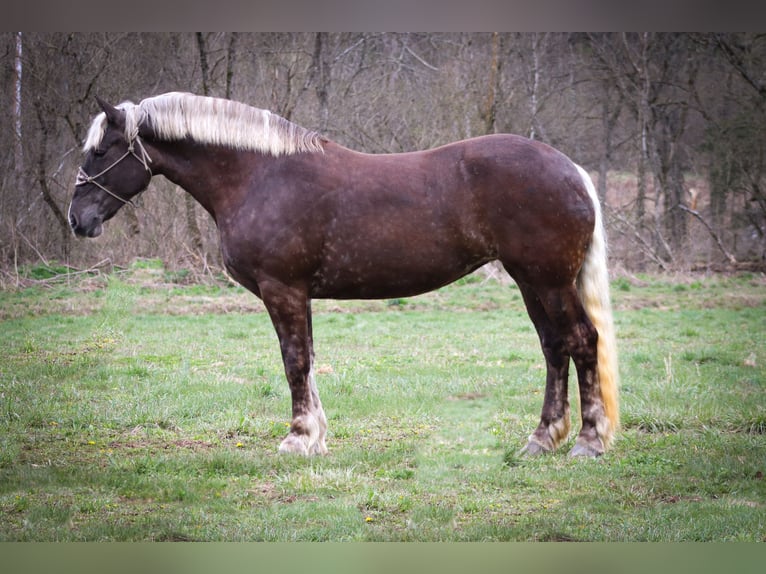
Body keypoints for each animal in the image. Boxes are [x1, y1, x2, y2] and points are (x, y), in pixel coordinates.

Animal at [69, 92, 620, 460]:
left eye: (101, 151)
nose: (78, 219)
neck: (259, 176)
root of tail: (570, 170)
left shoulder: (282, 289)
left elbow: (294, 360)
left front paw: (297, 439)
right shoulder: (297, 294)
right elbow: (308, 359)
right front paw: (315, 437)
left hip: (548, 281)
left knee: (581, 341)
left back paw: (588, 442)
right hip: (532, 282)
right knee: (554, 347)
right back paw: (541, 440)